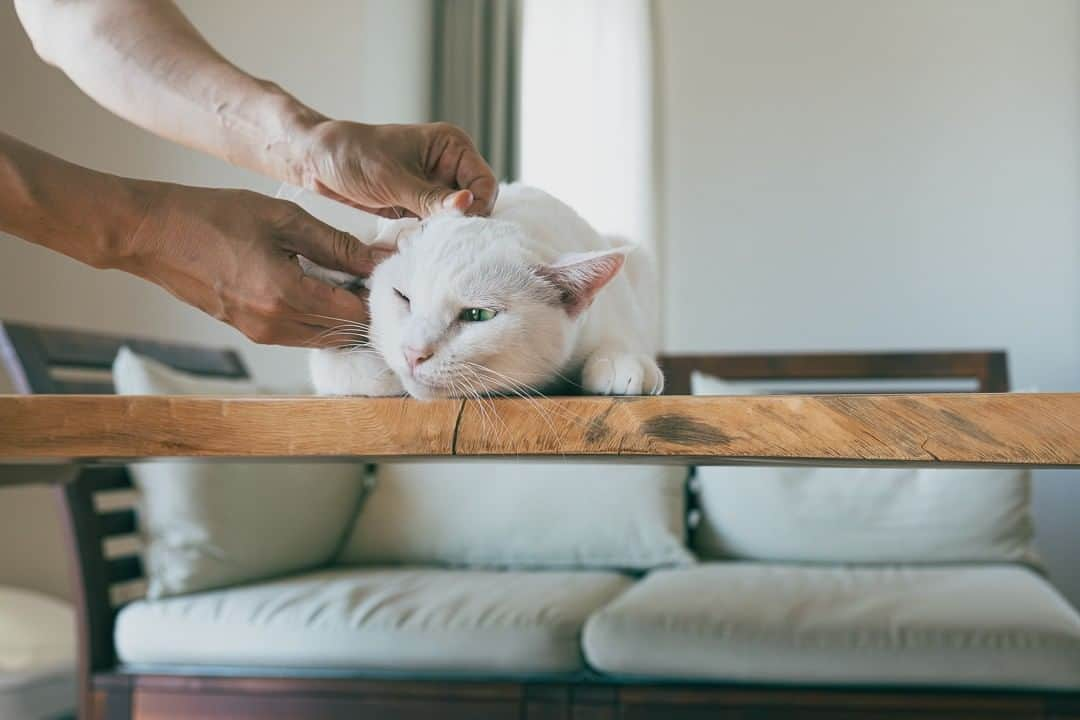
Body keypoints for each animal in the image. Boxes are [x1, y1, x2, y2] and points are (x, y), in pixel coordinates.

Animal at [302, 183, 656, 399]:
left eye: (478, 315)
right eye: (403, 297)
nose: (413, 354)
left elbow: (624, 336)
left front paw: (622, 362)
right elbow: (335, 366)